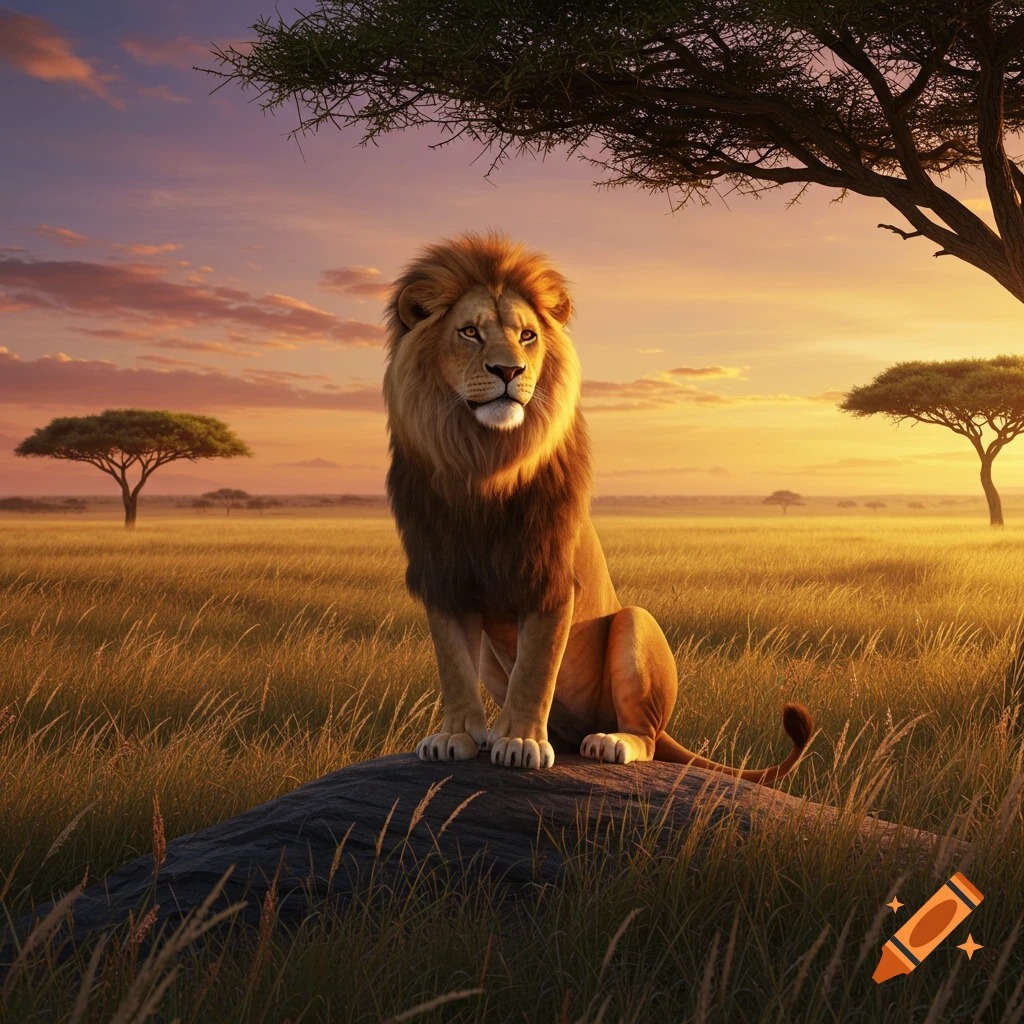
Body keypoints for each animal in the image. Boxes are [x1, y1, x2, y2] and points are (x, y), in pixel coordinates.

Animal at [383, 232, 813, 782]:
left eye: (526, 336)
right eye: (469, 332)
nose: (509, 371)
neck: (484, 467)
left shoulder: (549, 578)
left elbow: (535, 669)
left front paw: (521, 743)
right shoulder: (443, 576)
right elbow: (454, 667)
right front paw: (455, 737)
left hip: (636, 624)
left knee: (644, 736)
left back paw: (609, 742)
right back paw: (500, 733)